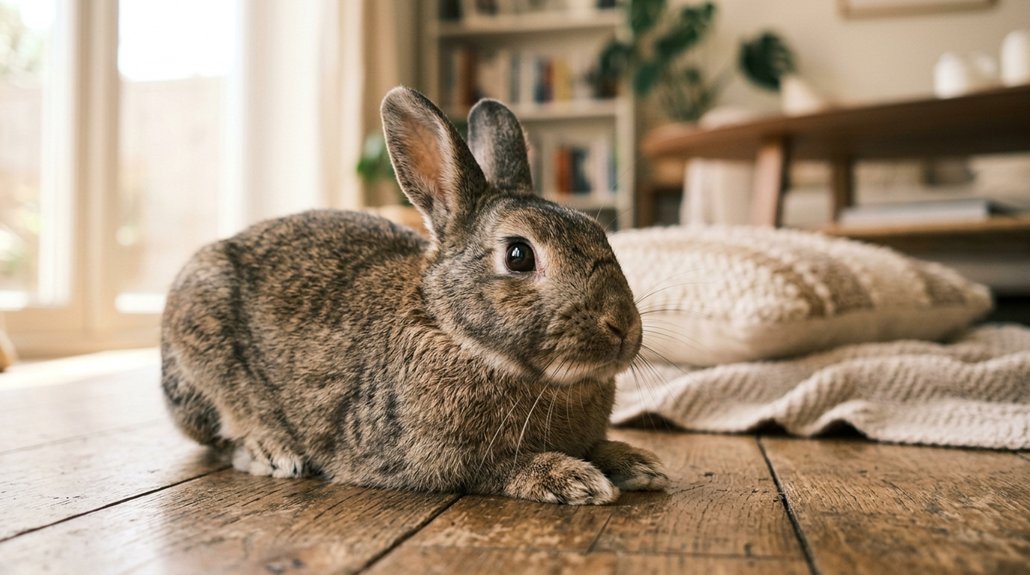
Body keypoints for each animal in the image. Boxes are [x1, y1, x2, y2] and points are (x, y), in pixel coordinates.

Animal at [160, 86, 668, 505]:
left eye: (599, 234)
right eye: (519, 255)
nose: (623, 327)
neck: (454, 332)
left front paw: (638, 463)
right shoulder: (425, 457)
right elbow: (496, 468)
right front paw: (572, 478)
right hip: (204, 354)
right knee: (225, 435)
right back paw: (273, 452)